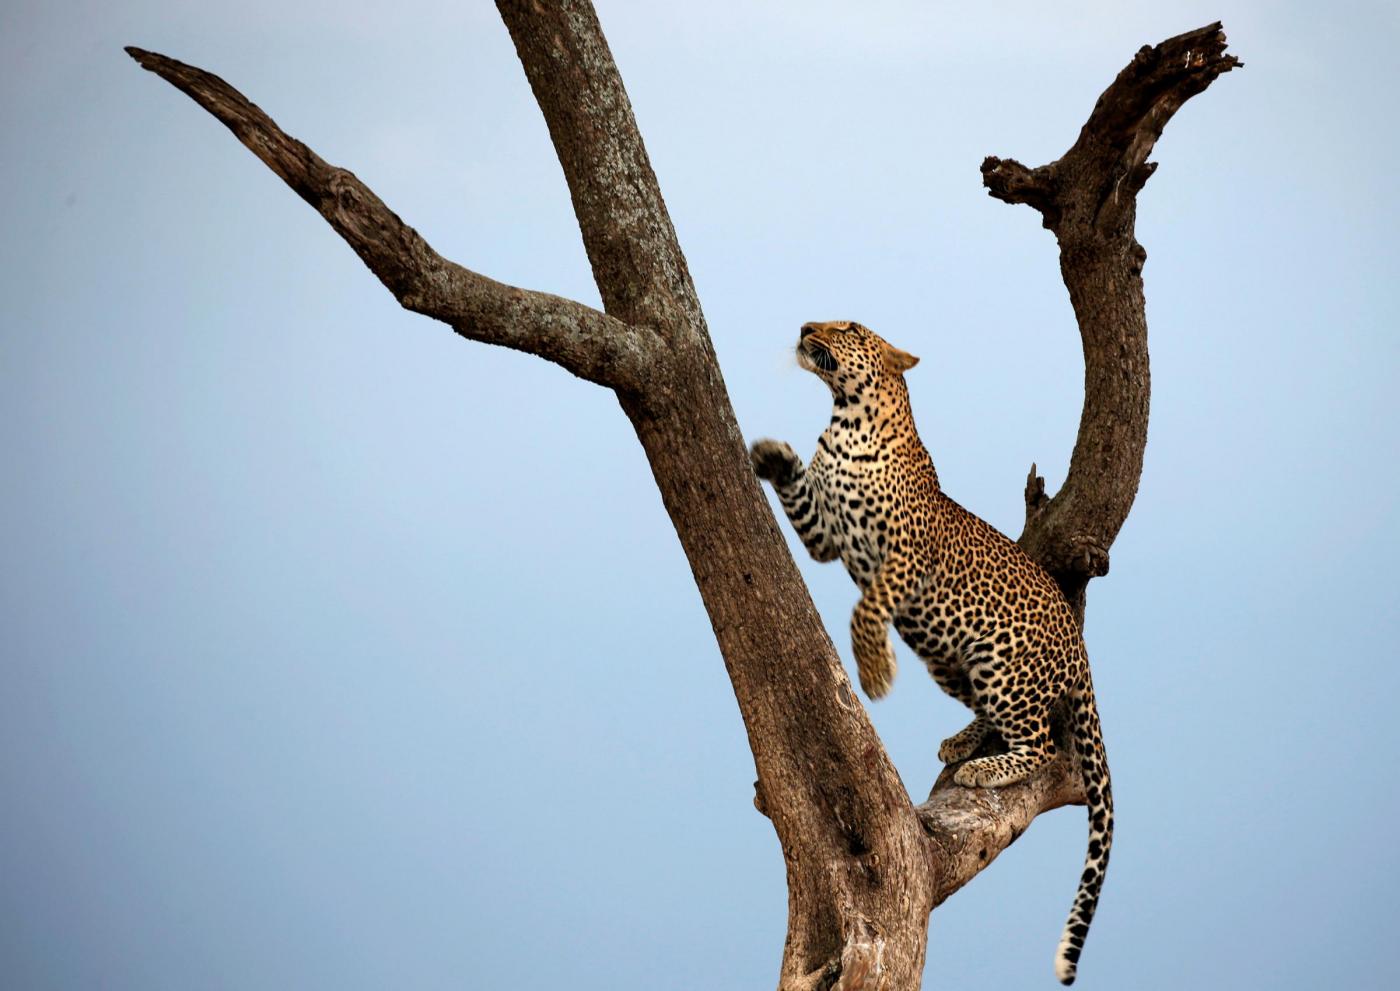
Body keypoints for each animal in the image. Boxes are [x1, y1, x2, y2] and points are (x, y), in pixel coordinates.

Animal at [756, 323, 1114, 985]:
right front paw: (771, 455)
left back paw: (983, 768)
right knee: (996, 717)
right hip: (952, 659)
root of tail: (1079, 648)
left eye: (847, 327)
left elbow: (866, 609)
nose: (805, 328)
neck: (845, 419)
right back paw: (964, 741)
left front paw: (874, 671)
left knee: (1043, 745)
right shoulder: (824, 535)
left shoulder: (902, 558)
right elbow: (800, 495)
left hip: (1003, 664)